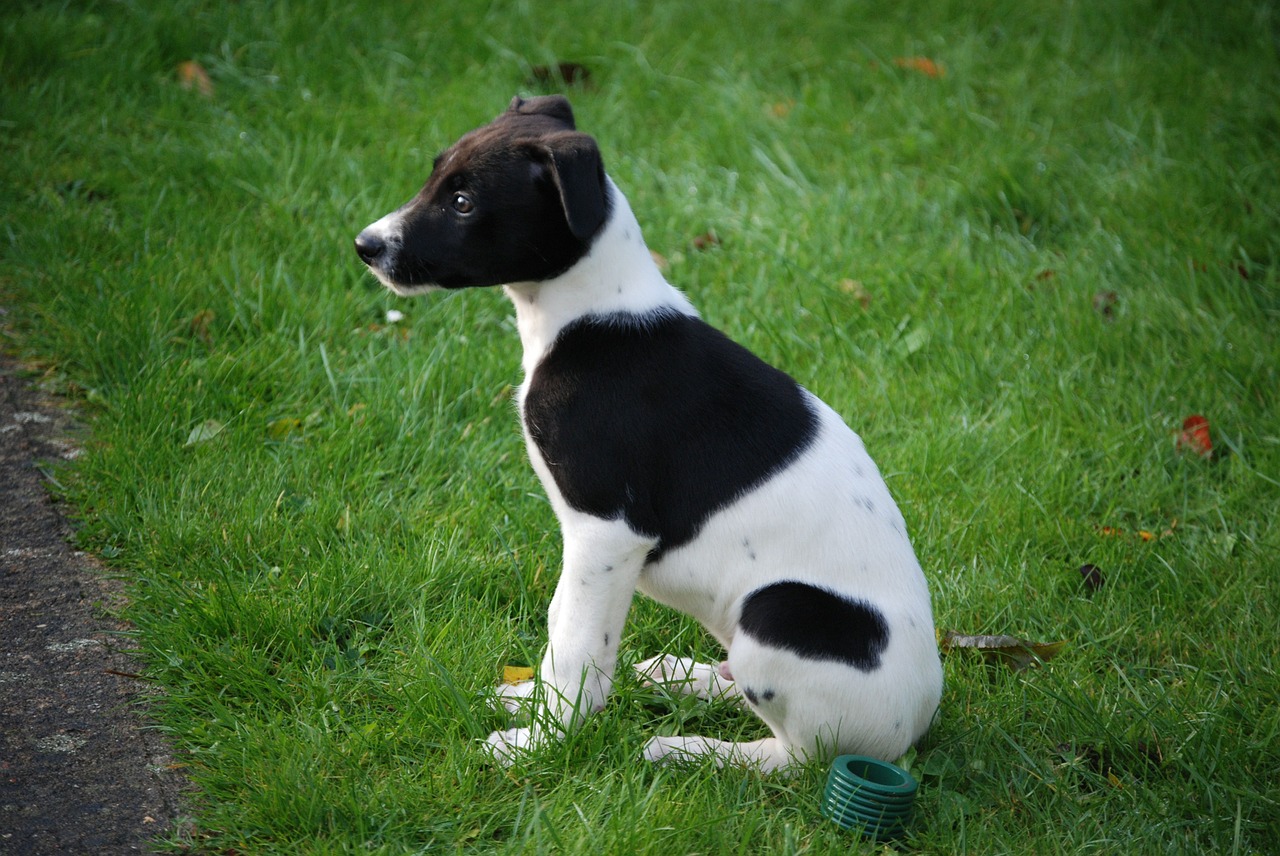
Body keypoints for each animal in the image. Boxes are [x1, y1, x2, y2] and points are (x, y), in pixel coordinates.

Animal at [355, 96, 947, 772]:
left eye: (462, 202)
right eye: (433, 177)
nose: (365, 246)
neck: (589, 314)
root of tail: (914, 727)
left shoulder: (606, 531)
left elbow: (577, 644)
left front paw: (544, 740)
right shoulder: (587, 541)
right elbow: (561, 623)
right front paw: (531, 702)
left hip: (778, 614)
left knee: (797, 756)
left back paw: (690, 751)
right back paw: (681, 676)